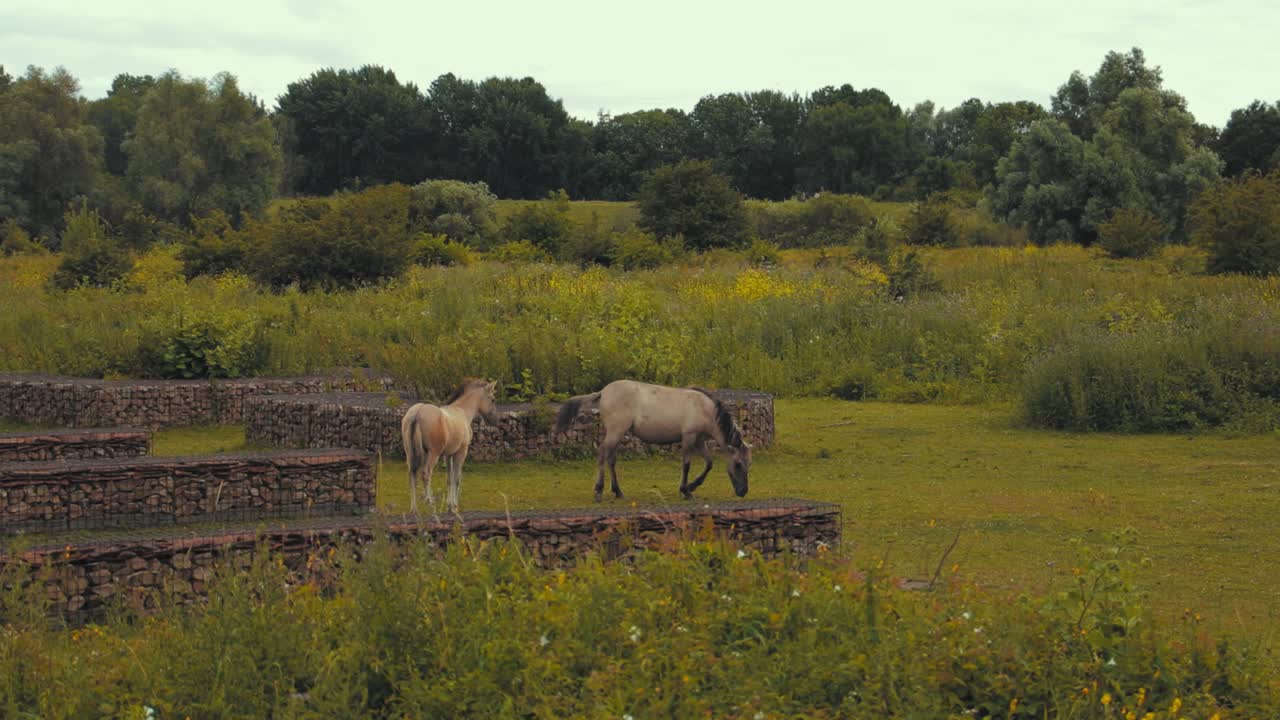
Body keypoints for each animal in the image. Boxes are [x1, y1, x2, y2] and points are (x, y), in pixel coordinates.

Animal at [400, 379, 500, 513]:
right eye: (493, 399)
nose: (495, 420)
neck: (462, 411)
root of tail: (417, 412)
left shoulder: (448, 455)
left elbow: (449, 479)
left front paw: (449, 506)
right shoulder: (461, 452)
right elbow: (457, 479)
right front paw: (454, 506)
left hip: (410, 453)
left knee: (412, 476)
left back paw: (414, 509)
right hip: (433, 454)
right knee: (426, 473)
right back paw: (430, 503)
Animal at [553, 380, 752, 502]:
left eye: (748, 464)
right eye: (738, 465)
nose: (743, 492)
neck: (705, 409)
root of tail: (603, 392)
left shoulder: (699, 440)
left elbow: (709, 463)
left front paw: (693, 486)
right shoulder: (689, 437)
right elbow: (686, 464)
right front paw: (685, 490)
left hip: (617, 434)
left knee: (611, 459)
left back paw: (618, 491)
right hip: (615, 432)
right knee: (603, 454)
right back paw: (599, 490)